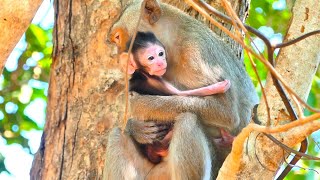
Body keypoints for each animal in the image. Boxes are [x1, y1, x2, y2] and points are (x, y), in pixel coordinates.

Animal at [120, 31, 232, 164]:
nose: (160, 62)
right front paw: (218, 87)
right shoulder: (153, 79)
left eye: (160, 54)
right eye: (151, 58)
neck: (141, 72)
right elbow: (181, 94)